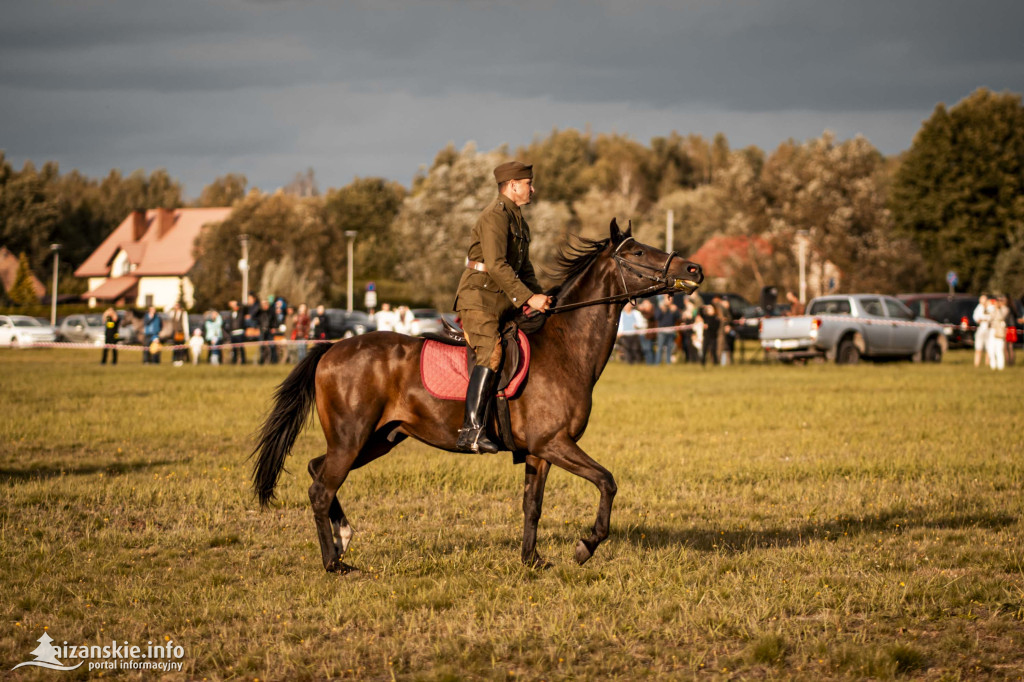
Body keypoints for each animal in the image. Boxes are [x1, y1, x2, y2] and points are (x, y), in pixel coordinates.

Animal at [251, 218, 700, 569]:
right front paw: (585, 546)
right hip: (353, 438)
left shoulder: (538, 452)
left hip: (378, 439)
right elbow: (607, 482)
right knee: (321, 488)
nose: (694, 268)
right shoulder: (554, 443)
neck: (565, 347)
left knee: (316, 470)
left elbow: (532, 506)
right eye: (639, 252)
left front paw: (532, 560)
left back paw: (343, 538)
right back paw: (333, 562)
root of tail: (332, 347)